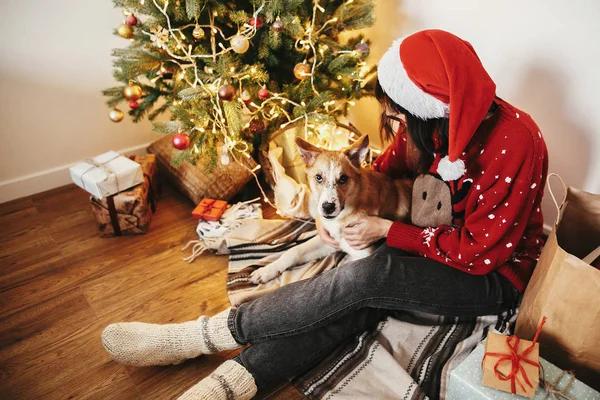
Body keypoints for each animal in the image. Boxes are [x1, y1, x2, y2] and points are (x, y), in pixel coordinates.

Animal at [250, 135, 412, 284]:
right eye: (318, 177)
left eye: (343, 179)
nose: (328, 207)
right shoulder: (329, 240)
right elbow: (293, 251)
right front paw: (266, 271)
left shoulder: (363, 255)